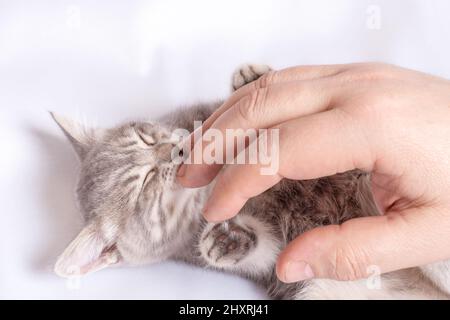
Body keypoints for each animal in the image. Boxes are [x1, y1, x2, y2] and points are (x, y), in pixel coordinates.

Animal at [51, 63, 448, 298]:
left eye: (146, 138)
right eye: (147, 186)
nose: (175, 150)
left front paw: (253, 79)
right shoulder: (282, 264)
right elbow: (266, 253)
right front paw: (227, 240)